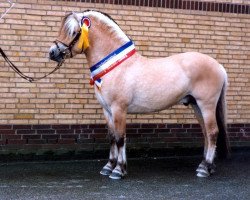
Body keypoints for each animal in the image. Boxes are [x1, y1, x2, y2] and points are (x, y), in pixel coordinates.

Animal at [48, 9, 230, 180]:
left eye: (73, 32)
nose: (52, 52)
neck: (115, 65)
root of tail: (219, 66)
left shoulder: (119, 109)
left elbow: (120, 138)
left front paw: (118, 170)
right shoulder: (107, 110)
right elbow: (112, 137)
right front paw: (108, 167)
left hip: (206, 105)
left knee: (212, 132)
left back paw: (205, 169)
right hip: (196, 105)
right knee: (206, 133)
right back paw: (205, 166)